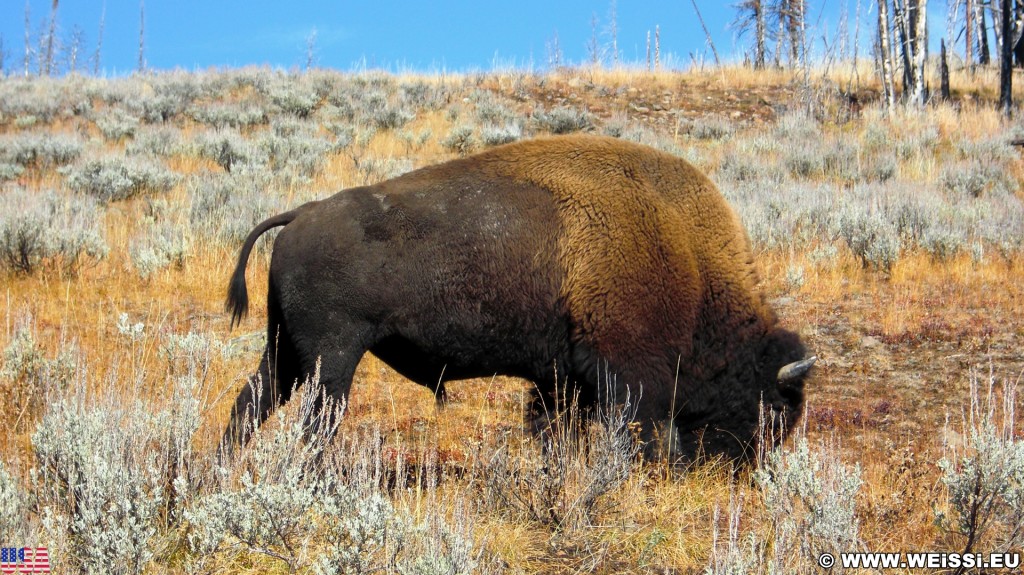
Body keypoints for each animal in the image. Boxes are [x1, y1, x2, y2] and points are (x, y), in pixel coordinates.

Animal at [224, 134, 815, 460]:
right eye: (768, 406)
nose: (746, 470)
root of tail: (301, 214)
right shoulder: (626, 374)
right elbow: (637, 433)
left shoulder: (564, 378)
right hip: (333, 357)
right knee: (313, 422)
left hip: (286, 351)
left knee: (252, 403)